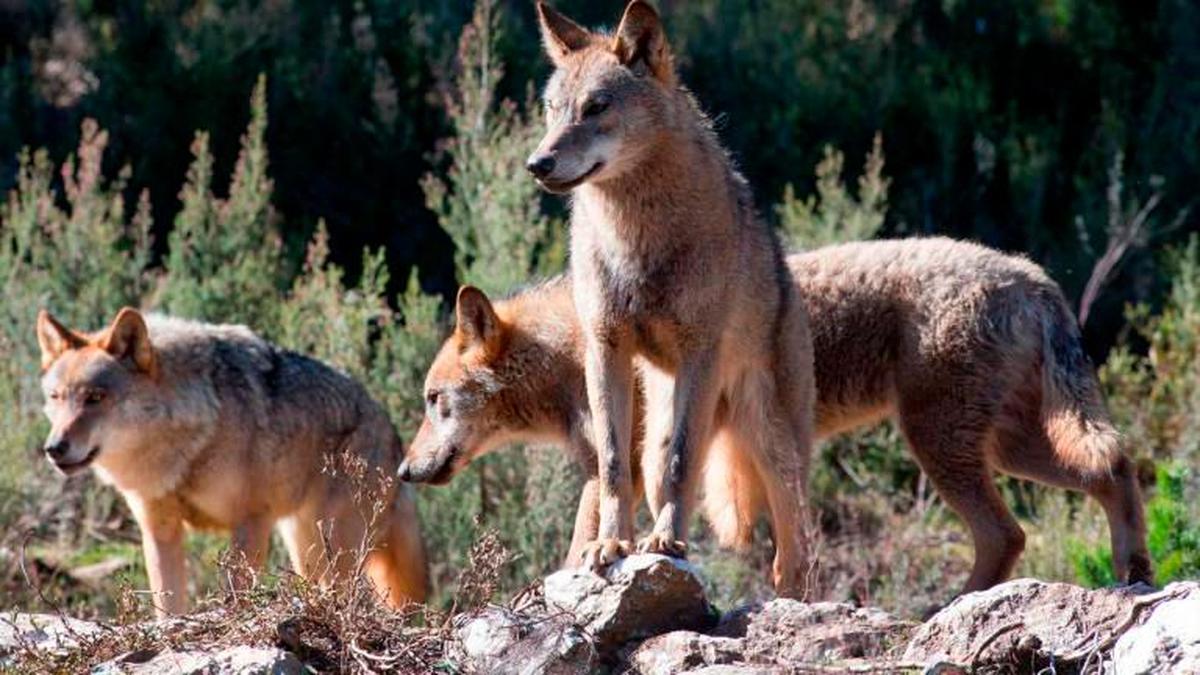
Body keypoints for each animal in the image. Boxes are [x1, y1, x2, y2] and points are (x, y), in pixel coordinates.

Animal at [36, 307, 427, 612]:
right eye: (56, 397)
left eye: (95, 397)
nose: (54, 448)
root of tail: (392, 434)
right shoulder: (159, 530)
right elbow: (168, 607)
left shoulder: (251, 522)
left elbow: (235, 596)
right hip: (307, 551)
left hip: (335, 551)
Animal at [525, 0, 816, 590]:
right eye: (552, 109)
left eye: (596, 107)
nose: (537, 165)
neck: (635, 238)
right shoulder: (605, 351)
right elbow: (613, 466)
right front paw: (610, 544)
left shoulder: (700, 352)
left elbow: (684, 464)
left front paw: (666, 543)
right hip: (663, 421)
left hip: (774, 447)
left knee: (792, 555)